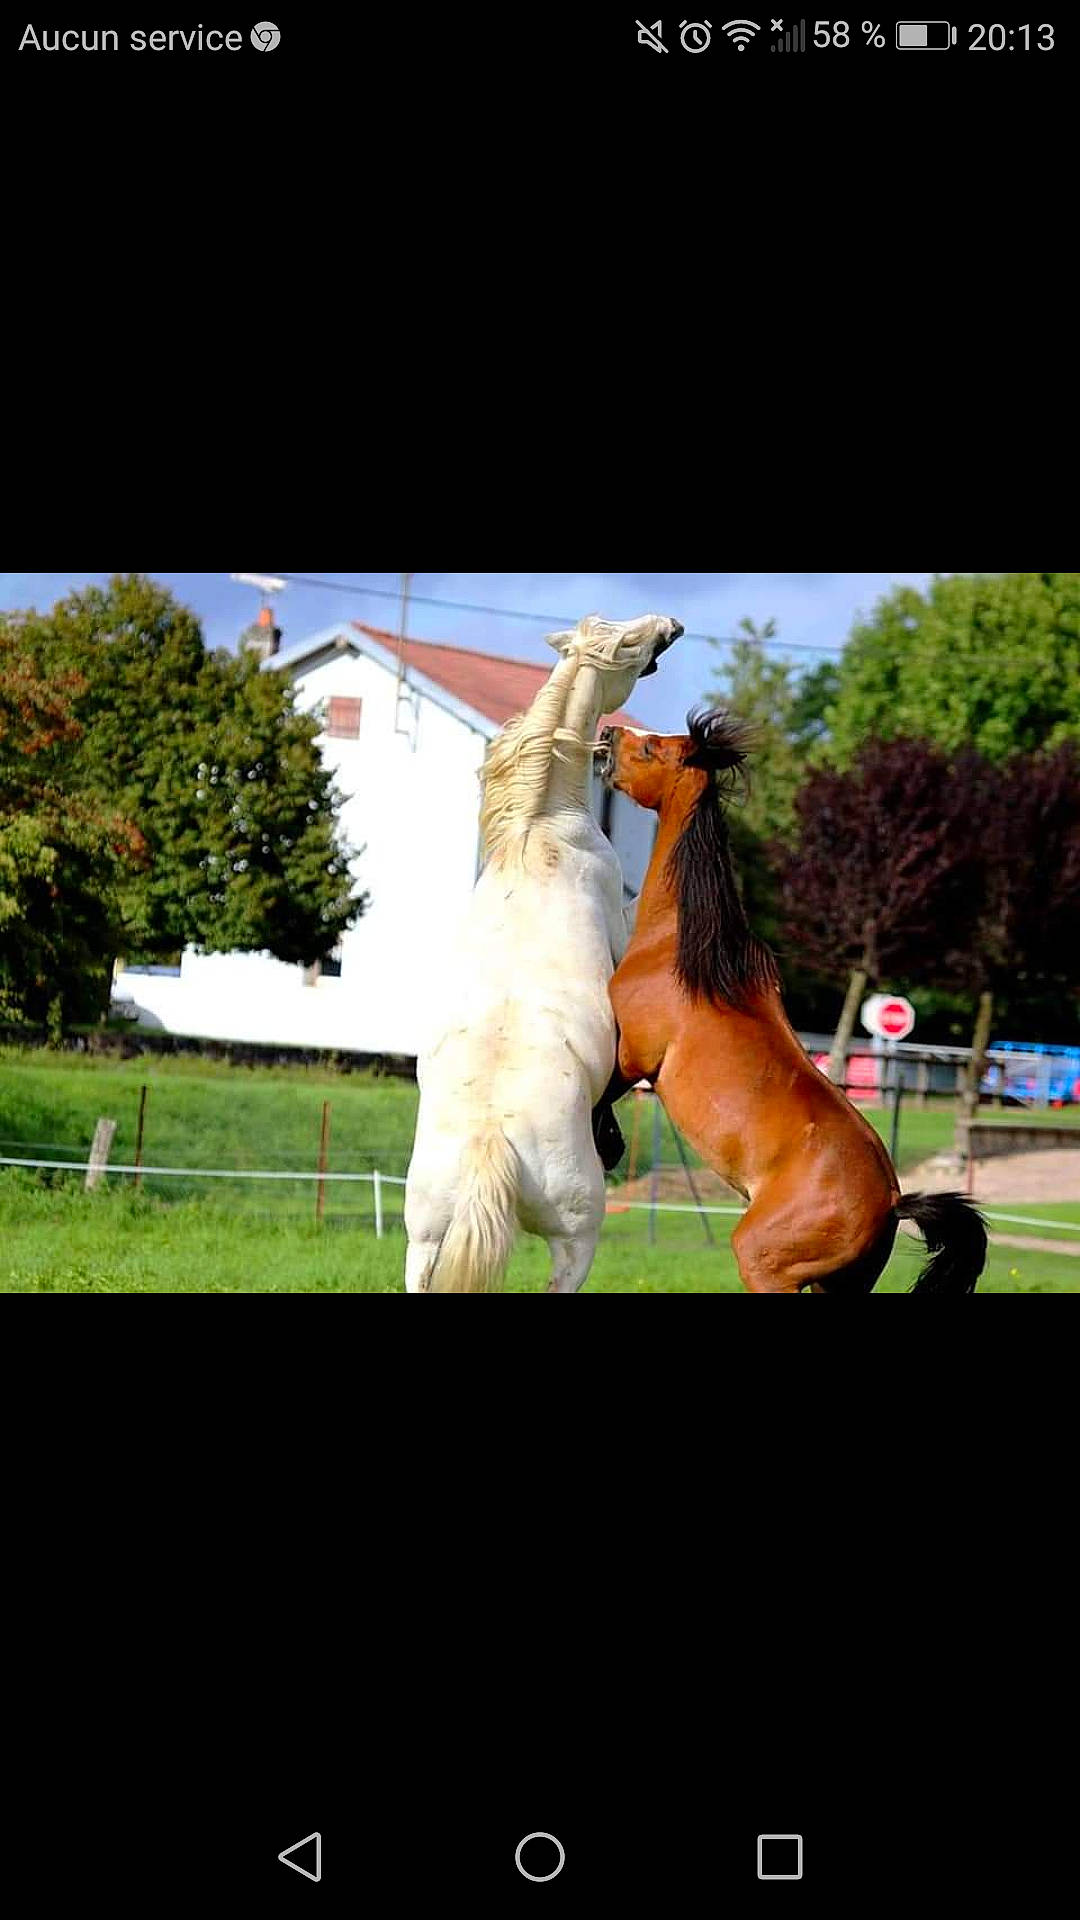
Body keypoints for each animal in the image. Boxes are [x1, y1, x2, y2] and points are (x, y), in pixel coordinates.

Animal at [403, 612, 683, 1294]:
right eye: (630, 644)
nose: (670, 625)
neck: (539, 828)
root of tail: (489, 1148)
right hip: (576, 1244)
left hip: (422, 1243)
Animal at [599, 709, 987, 1293]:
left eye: (651, 749)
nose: (608, 735)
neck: (679, 947)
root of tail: (892, 1200)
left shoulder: (635, 1055)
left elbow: (601, 1098)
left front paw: (608, 1146)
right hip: (842, 1283)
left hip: (764, 1265)